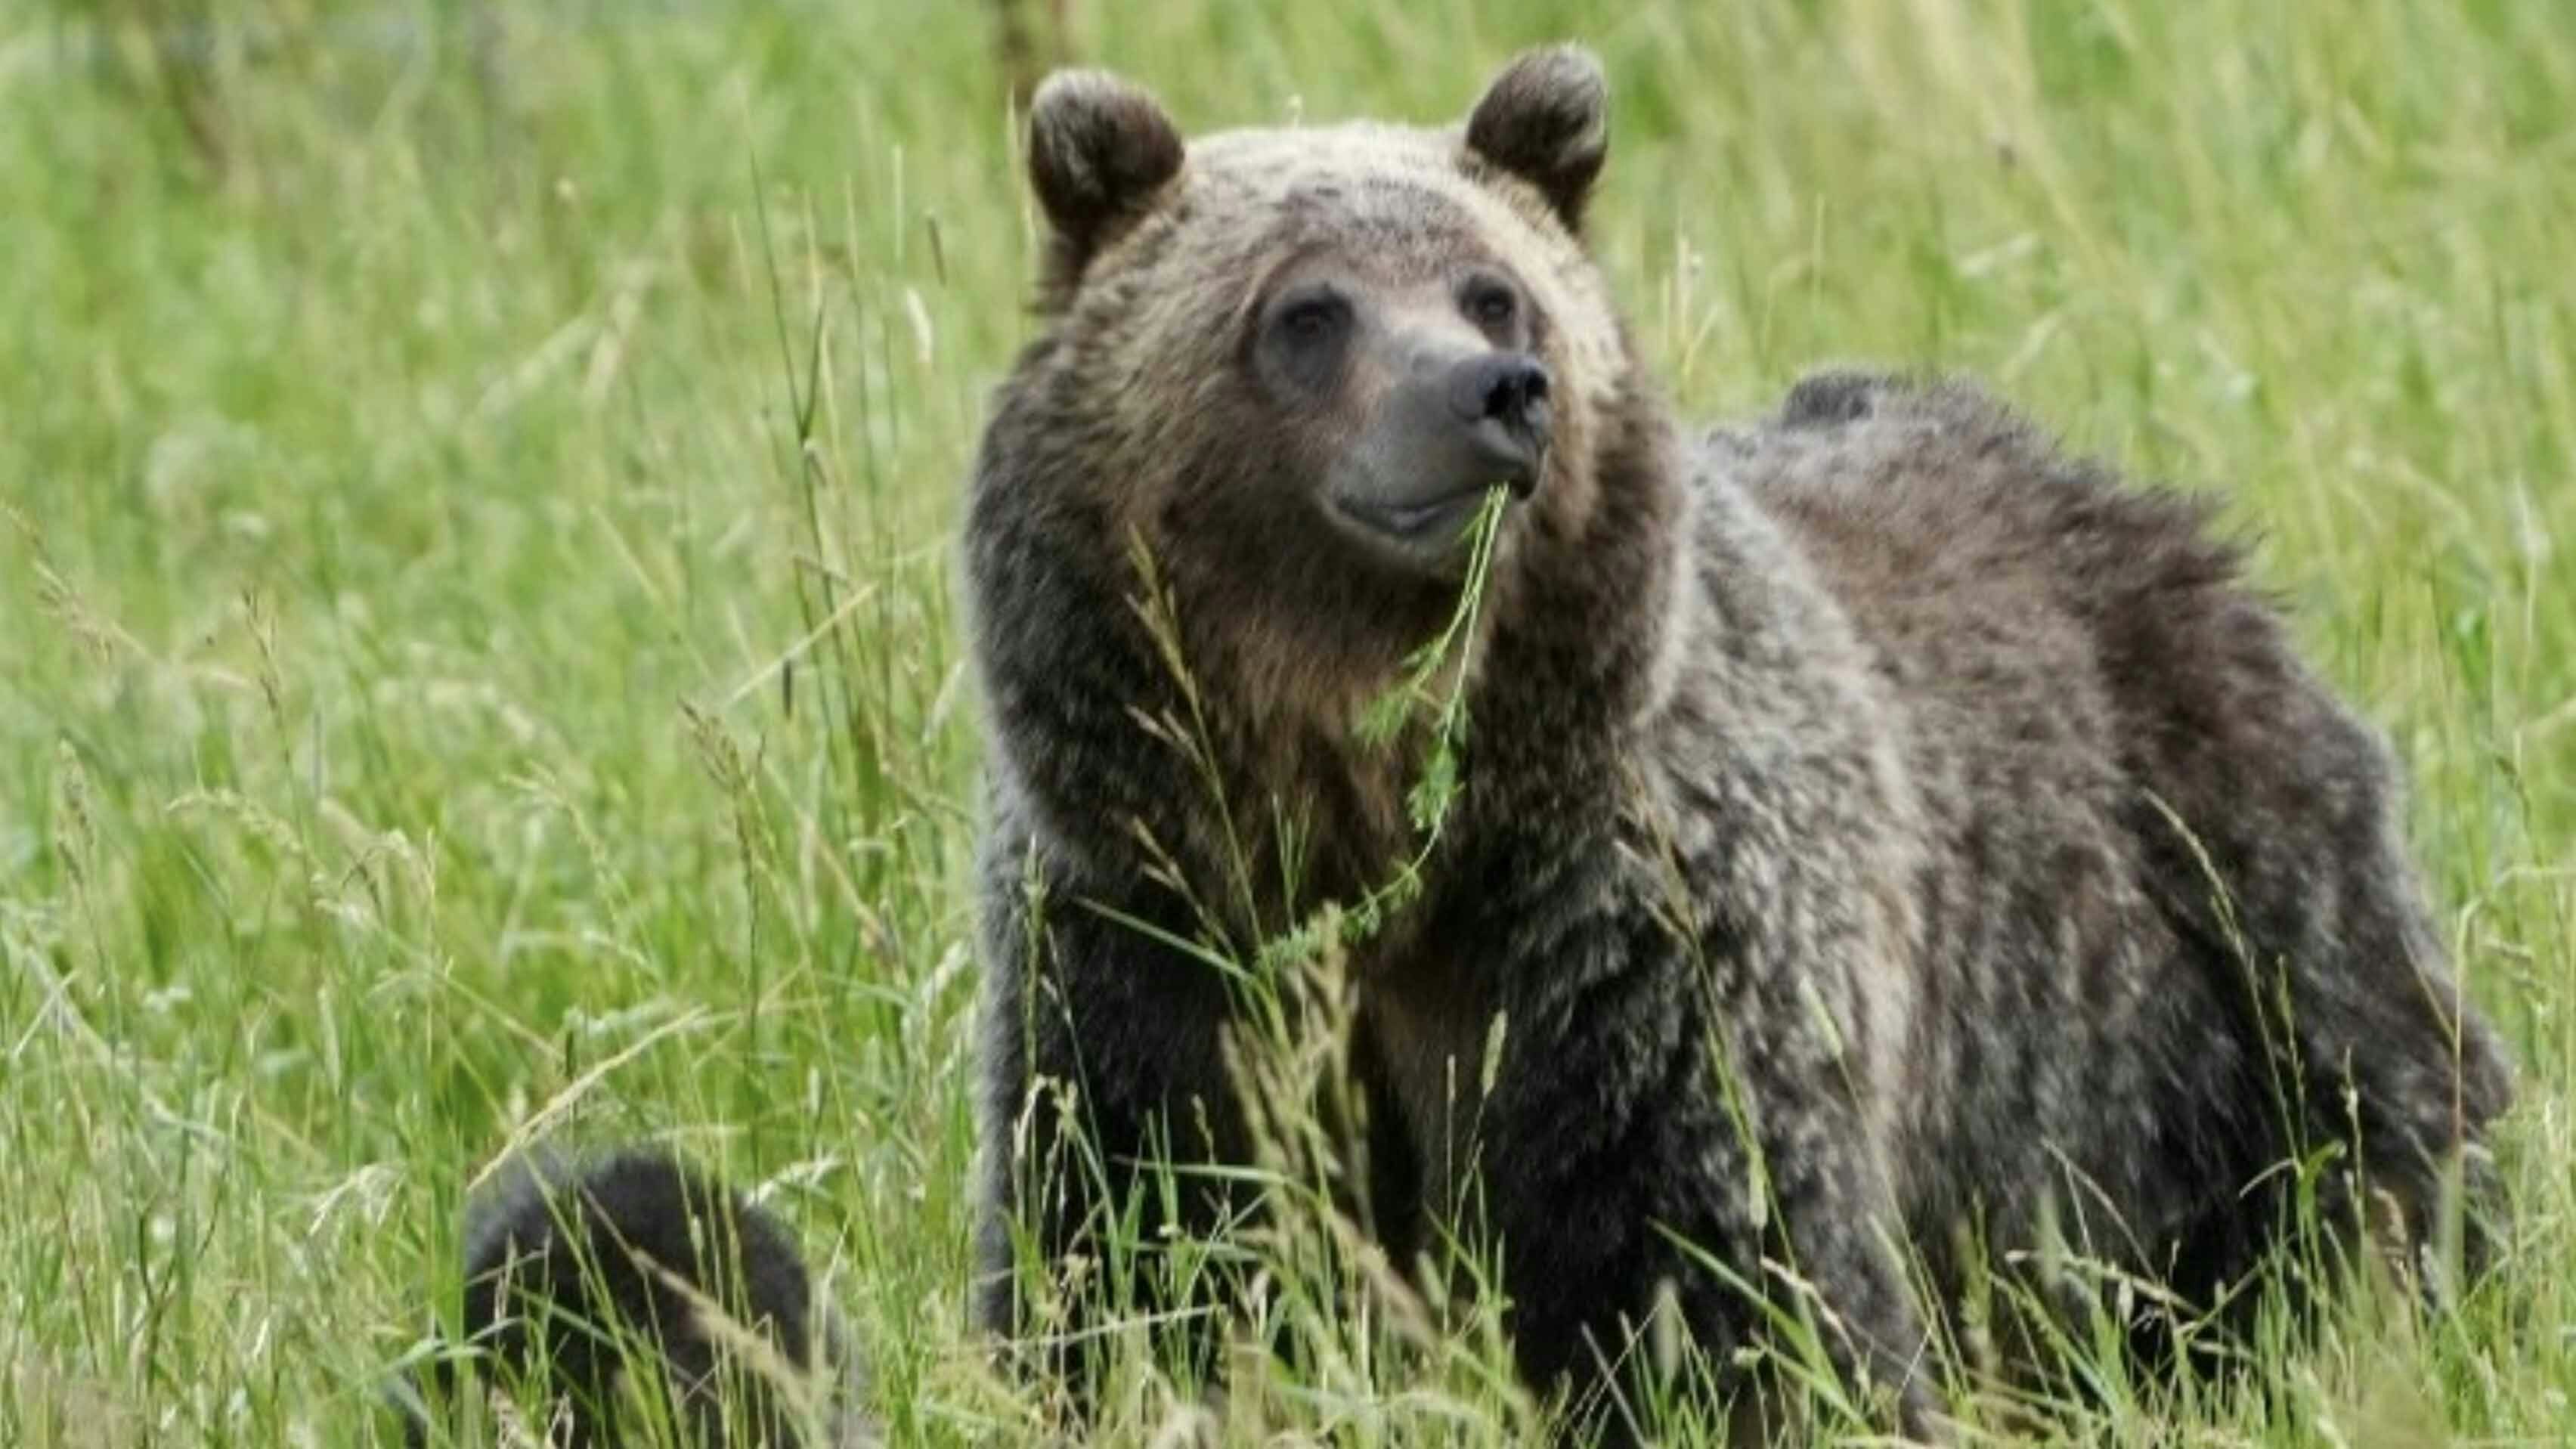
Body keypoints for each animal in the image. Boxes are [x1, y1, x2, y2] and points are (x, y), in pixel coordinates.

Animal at [958, 41, 2513, 1442]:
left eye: (1491, 288)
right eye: (1308, 310)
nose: (1494, 388)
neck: (1383, 813)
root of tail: (2159, 517)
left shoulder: (1647, 947)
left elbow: (1731, 1279)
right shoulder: (1150, 936)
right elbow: (1134, 1248)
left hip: (2212, 933)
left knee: (2365, 1150)